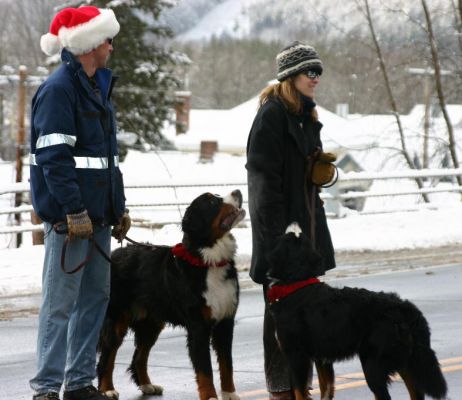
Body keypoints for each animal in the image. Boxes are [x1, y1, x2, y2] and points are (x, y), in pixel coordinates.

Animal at [97, 190, 245, 400]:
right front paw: (210, 396)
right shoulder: (198, 326)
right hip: (117, 319)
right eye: (211, 201)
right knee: (107, 356)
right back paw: (107, 389)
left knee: (139, 356)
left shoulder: (226, 321)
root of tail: (114, 254)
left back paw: (147, 385)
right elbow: (205, 369)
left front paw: (229, 393)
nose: (237, 192)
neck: (208, 260)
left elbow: (227, 364)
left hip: (151, 323)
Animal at [268, 222, 448, 400]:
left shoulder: (296, 356)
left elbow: (300, 392)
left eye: (291, 237)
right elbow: (326, 389)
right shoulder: (321, 358)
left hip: (373, 364)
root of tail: (404, 308)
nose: (295, 223)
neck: (296, 284)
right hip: (406, 361)